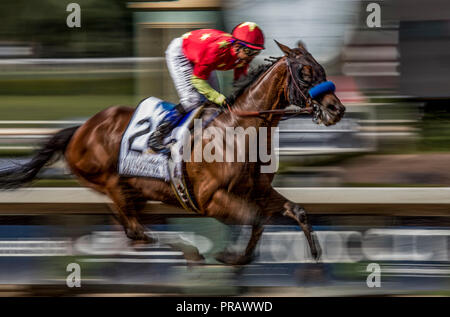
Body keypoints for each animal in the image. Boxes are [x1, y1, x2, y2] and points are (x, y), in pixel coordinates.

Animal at [0, 42, 344, 264]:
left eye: (321, 68)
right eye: (305, 72)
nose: (336, 109)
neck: (239, 130)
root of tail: (80, 129)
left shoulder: (257, 190)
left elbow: (292, 212)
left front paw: (314, 253)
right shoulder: (211, 199)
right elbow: (252, 218)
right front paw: (231, 255)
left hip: (132, 191)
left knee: (133, 230)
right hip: (111, 183)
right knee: (138, 232)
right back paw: (189, 248)